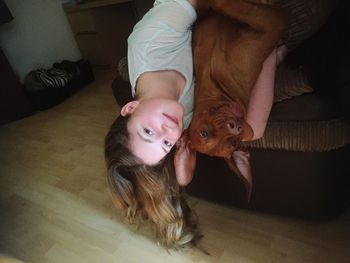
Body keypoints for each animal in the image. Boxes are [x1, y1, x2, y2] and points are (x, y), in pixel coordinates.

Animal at [175, 0, 288, 198]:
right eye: (204, 134)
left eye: (234, 142)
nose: (235, 127)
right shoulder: (271, 23)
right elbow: (225, 4)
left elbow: (222, 5)